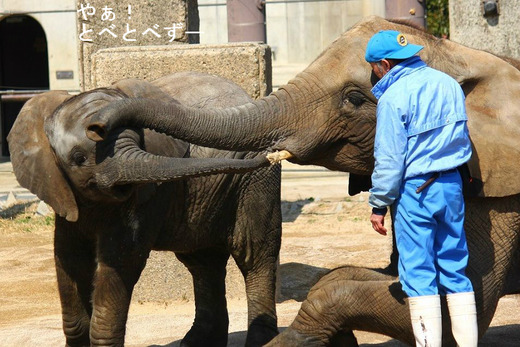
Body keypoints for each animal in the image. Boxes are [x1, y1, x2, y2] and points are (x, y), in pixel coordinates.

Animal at [7, 71, 280, 347]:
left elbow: (120, 259)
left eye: (140, 141)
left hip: (254, 184)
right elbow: (69, 257)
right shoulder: (62, 190)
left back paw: (261, 340)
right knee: (203, 262)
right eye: (79, 158)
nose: (270, 157)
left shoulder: (148, 197)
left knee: (254, 257)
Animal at [88, 15, 520, 346]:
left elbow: (464, 294)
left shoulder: (491, 189)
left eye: (354, 99)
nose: (96, 127)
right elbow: (347, 276)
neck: (467, 56)